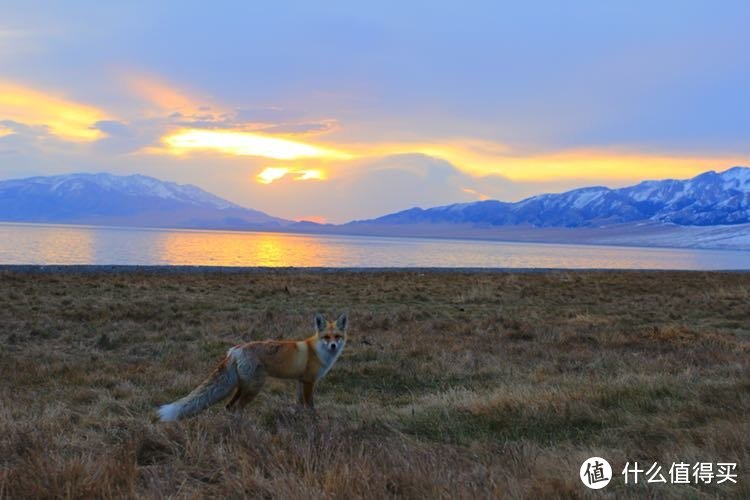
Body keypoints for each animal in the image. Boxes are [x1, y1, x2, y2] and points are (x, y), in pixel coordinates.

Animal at [159, 312, 350, 422]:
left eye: (337, 336)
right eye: (326, 337)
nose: (333, 346)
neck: (316, 351)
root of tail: (235, 350)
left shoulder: (300, 381)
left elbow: (300, 404)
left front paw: (300, 418)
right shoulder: (309, 382)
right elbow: (310, 405)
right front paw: (314, 421)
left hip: (242, 386)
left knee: (229, 407)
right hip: (254, 388)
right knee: (236, 408)